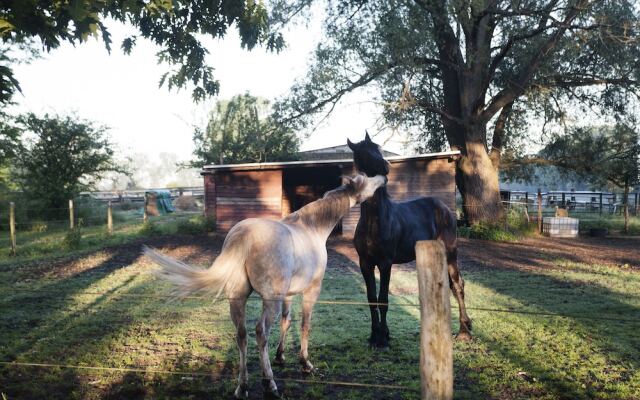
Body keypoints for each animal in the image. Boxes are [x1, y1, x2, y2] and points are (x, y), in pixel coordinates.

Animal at [144, 173, 384, 398]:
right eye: (366, 180)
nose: (382, 179)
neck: (311, 227)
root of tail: (243, 236)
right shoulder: (311, 291)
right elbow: (304, 325)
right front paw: (306, 364)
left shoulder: (288, 294)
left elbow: (286, 321)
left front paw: (280, 356)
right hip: (270, 300)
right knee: (260, 332)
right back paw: (270, 385)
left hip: (238, 299)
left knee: (241, 334)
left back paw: (242, 387)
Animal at [348, 134, 472, 346]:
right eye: (363, 153)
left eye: (378, 148)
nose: (386, 167)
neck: (375, 220)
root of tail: (446, 210)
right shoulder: (365, 263)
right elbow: (372, 298)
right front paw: (374, 336)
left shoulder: (385, 263)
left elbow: (383, 299)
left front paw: (383, 339)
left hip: (450, 253)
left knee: (457, 285)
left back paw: (464, 331)